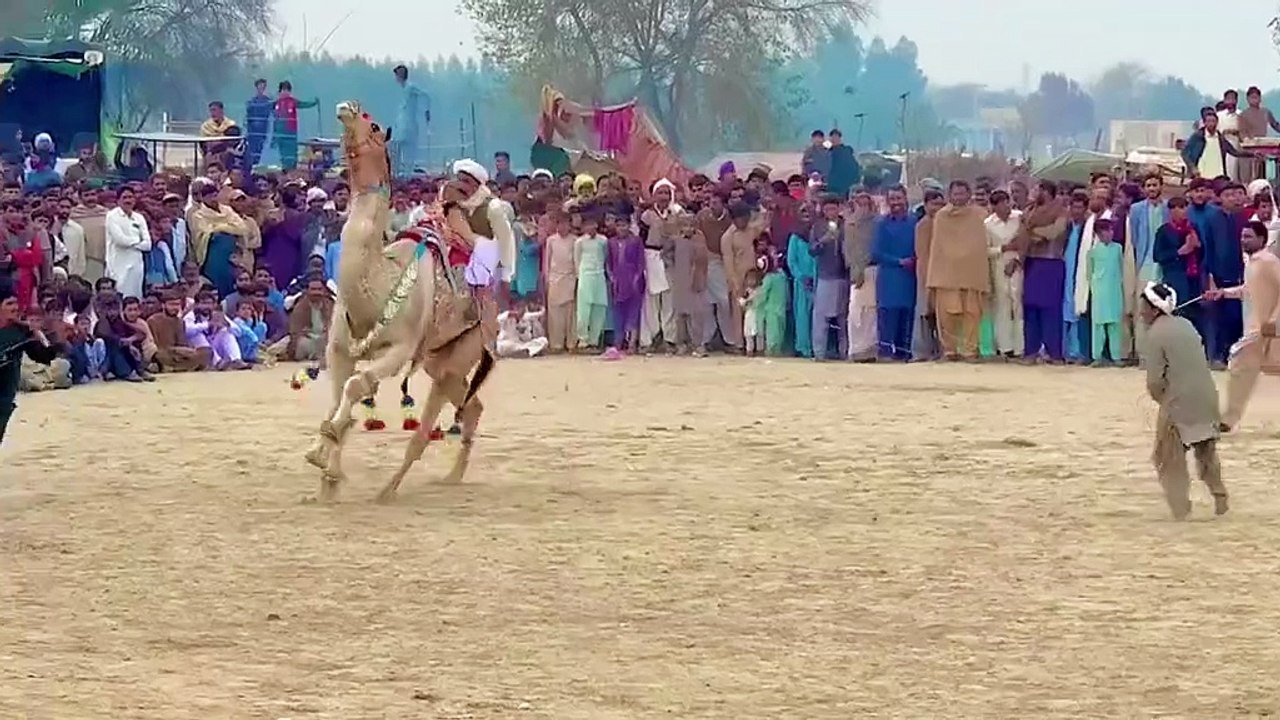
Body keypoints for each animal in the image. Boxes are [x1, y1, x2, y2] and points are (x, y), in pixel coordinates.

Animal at [304, 101, 498, 502]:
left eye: (374, 124)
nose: (347, 108)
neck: (376, 285)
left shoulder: (399, 349)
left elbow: (356, 385)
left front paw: (325, 460)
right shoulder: (339, 348)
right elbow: (339, 395)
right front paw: (327, 475)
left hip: (464, 349)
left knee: (426, 430)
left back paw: (389, 490)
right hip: (438, 360)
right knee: (471, 405)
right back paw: (452, 477)